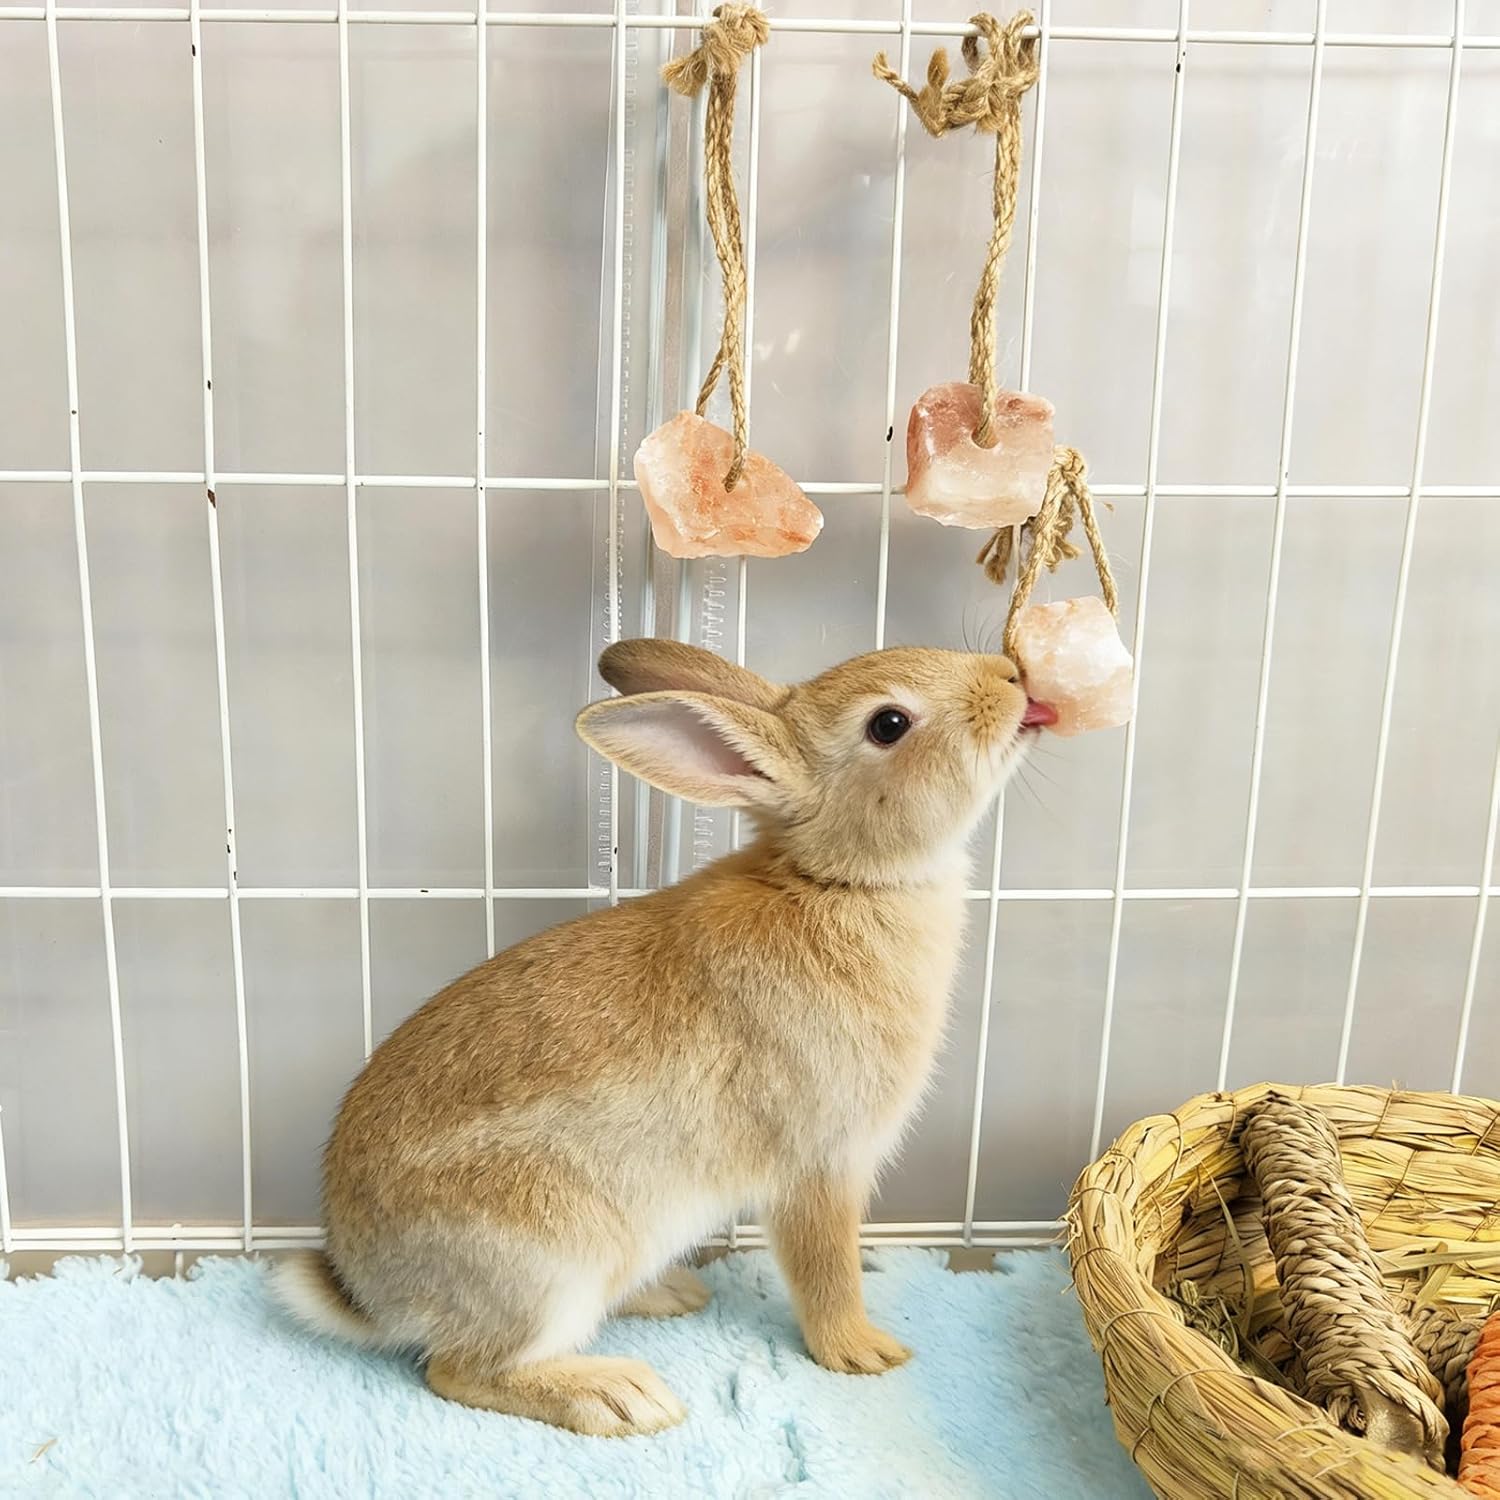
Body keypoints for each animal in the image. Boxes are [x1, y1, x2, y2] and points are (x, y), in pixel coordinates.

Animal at [272, 638, 1055, 1436]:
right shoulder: (821, 1163)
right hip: (551, 1260)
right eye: (888, 724)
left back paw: (669, 1295)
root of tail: (369, 1294)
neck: (836, 883)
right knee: (459, 1370)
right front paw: (865, 1352)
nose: (1012, 676)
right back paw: (617, 1395)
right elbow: (825, 1267)